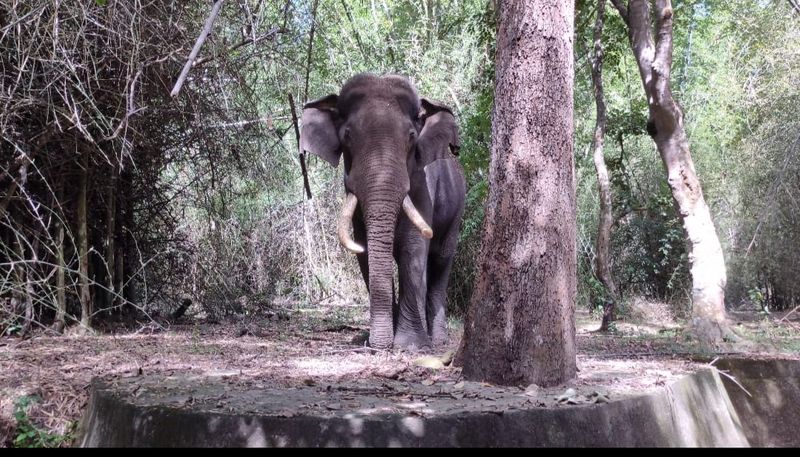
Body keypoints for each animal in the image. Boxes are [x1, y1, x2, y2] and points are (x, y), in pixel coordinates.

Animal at [300, 74, 466, 350]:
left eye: (411, 135)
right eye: (347, 135)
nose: (376, 345)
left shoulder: (422, 186)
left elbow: (413, 248)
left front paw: (409, 345)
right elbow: (365, 251)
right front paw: (379, 341)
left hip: (457, 210)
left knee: (441, 261)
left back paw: (438, 340)